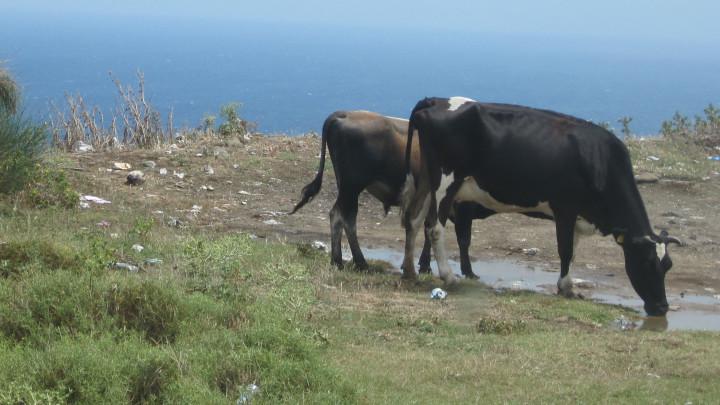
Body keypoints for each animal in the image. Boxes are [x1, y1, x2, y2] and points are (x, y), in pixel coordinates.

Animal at [290, 109, 480, 276]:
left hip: (346, 188)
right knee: (343, 217)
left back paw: (340, 262)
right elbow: (461, 238)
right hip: (351, 186)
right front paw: (467, 271)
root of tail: (344, 114)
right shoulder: (462, 207)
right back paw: (358, 263)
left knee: (342, 216)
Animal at [400, 97, 680, 316]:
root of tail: (435, 101)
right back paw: (447, 276)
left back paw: (410, 272)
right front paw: (565, 288)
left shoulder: (578, 216)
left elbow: (573, 252)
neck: (599, 161)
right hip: (447, 181)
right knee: (434, 227)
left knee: (413, 218)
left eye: (668, 266)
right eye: (647, 262)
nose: (662, 307)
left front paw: (568, 285)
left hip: (427, 179)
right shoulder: (565, 207)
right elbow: (565, 250)